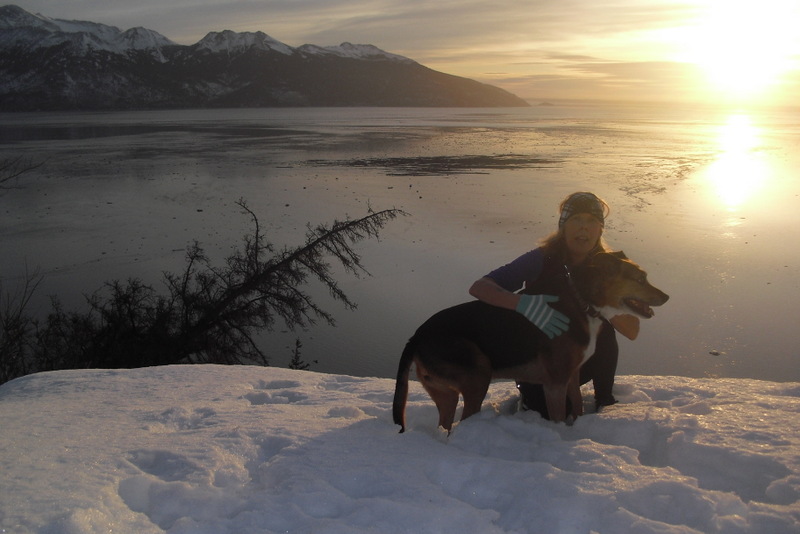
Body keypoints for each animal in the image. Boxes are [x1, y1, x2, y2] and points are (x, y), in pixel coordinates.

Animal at [392, 251, 669, 433]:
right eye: (640, 278)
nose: (666, 297)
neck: (583, 302)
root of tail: (416, 335)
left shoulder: (571, 375)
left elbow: (577, 405)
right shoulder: (555, 383)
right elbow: (558, 417)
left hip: (445, 392)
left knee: (446, 422)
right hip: (478, 373)